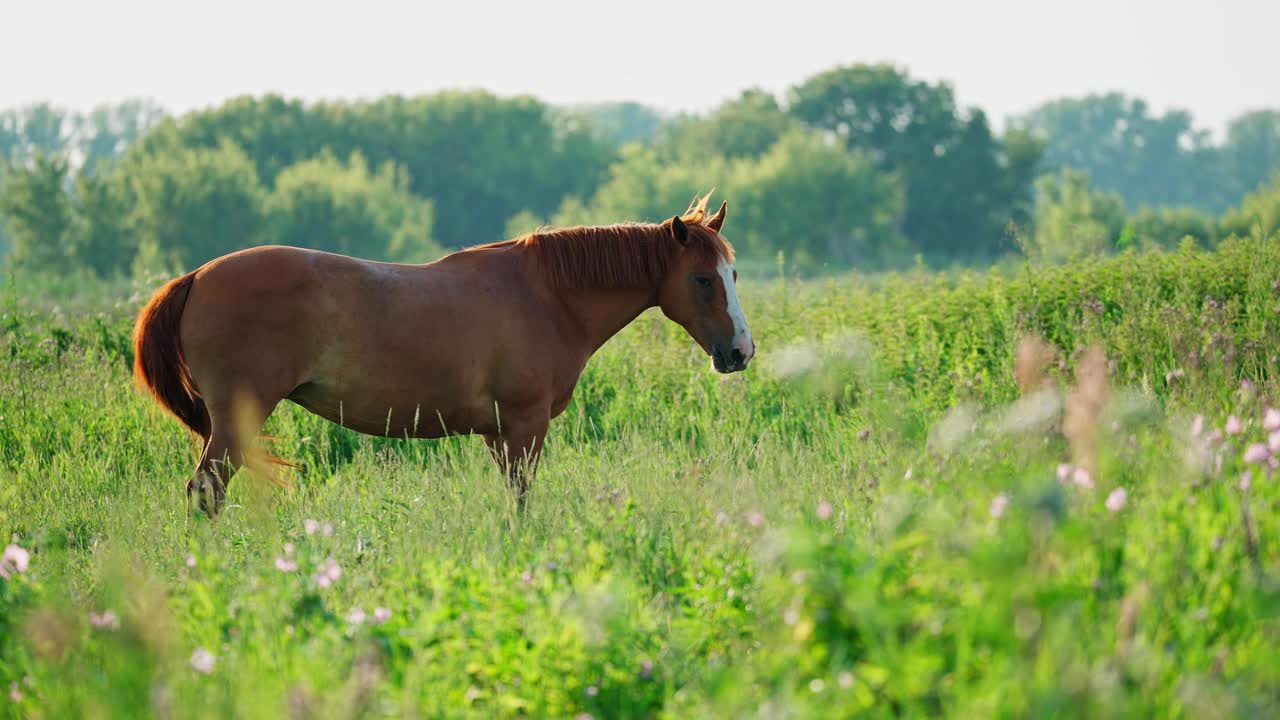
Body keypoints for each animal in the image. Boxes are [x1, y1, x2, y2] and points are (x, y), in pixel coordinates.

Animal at [132, 193, 747, 512]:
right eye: (701, 279)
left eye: (733, 273)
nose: (741, 351)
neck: (547, 295)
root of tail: (197, 278)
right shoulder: (525, 425)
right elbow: (522, 500)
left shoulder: (499, 433)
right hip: (237, 418)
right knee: (205, 491)